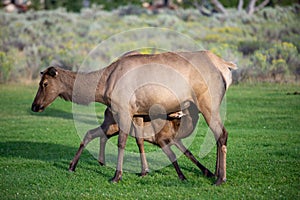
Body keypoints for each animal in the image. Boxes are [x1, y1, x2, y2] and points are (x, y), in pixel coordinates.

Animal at [31, 50, 237, 185]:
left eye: (45, 83)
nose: (34, 106)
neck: (103, 85)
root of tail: (225, 66)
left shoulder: (123, 108)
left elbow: (122, 141)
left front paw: (117, 175)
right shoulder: (137, 112)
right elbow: (138, 140)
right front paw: (143, 171)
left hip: (208, 104)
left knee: (222, 134)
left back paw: (220, 178)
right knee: (219, 135)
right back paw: (216, 173)